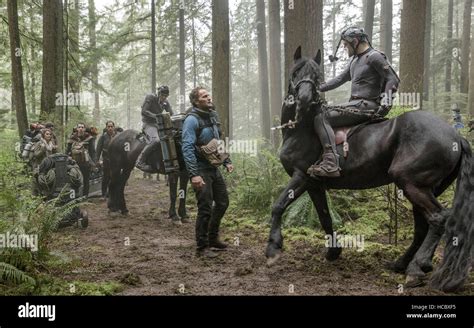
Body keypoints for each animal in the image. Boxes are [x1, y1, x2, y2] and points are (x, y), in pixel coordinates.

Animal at [264, 46, 472, 292]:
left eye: (316, 75)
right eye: (296, 72)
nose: (305, 99)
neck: (300, 129)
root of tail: (455, 136)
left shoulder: (301, 176)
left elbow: (278, 206)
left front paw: (273, 249)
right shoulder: (314, 184)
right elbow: (324, 216)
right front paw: (333, 252)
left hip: (412, 183)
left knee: (438, 218)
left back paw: (415, 268)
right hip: (427, 188)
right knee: (423, 225)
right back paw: (406, 263)